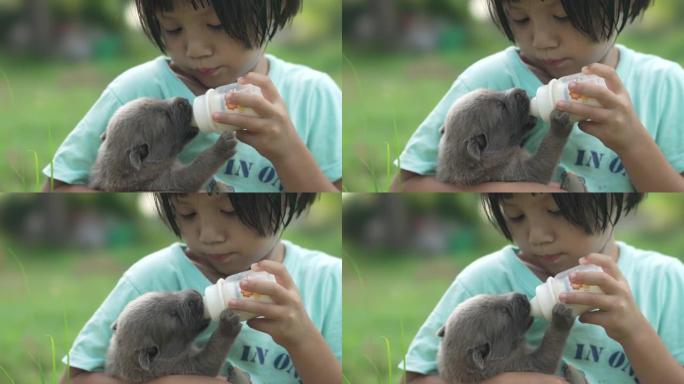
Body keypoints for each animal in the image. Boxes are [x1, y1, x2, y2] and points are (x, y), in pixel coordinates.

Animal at [105, 290, 244, 382]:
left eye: (164, 293)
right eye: (174, 315)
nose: (196, 295)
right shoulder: (181, 367)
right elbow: (210, 360)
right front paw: (228, 324)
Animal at [436, 292, 584, 382]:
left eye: (491, 295)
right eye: (504, 312)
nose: (523, 296)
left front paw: (573, 372)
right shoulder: (518, 366)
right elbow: (547, 358)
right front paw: (561, 317)